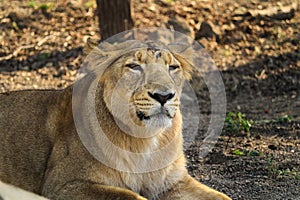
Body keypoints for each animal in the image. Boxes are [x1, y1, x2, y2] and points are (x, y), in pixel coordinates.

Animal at [0, 39, 231, 200]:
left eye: (172, 67)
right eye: (134, 66)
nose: (164, 96)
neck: (144, 140)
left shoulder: (174, 182)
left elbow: (221, 196)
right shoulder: (62, 185)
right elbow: (129, 196)